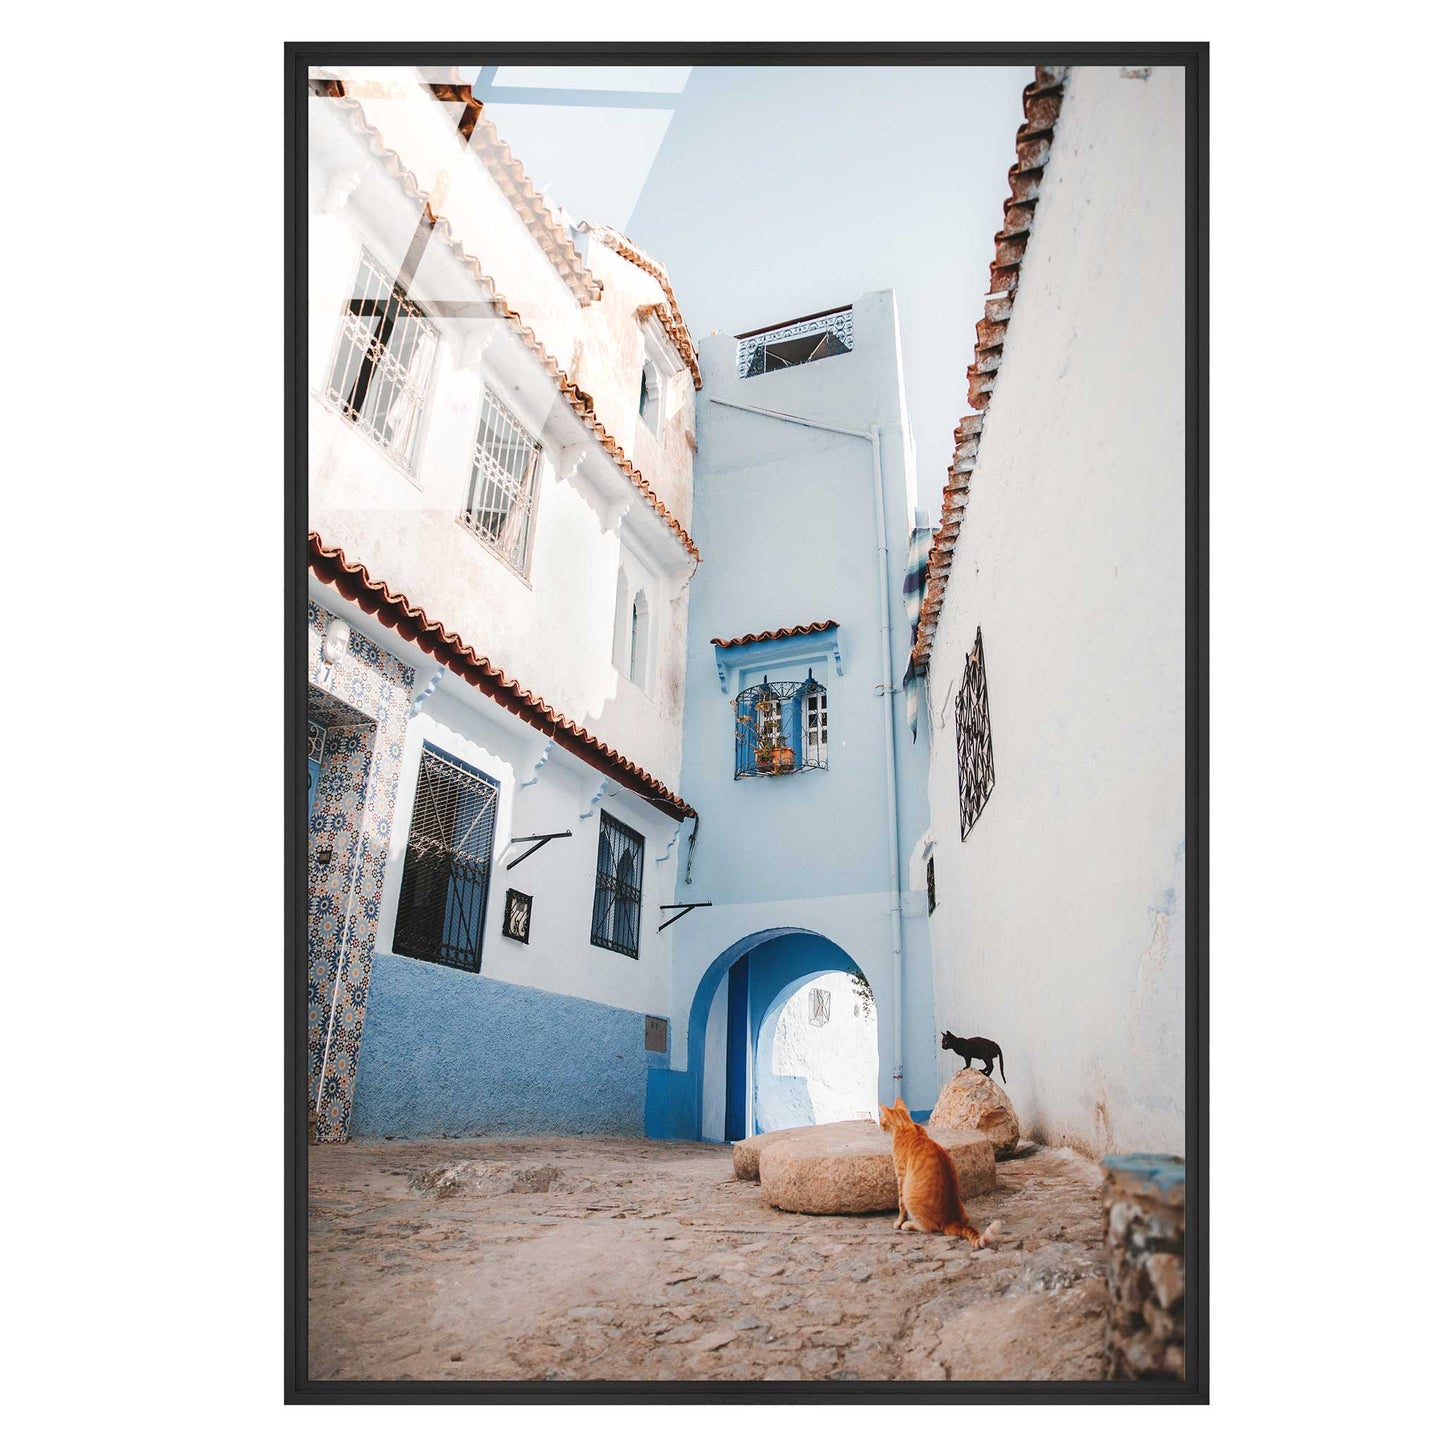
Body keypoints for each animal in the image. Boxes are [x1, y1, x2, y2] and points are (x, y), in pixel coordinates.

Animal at [872, 1092, 999, 1242]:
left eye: (882, 1119)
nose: (879, 1125)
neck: (907, 1125)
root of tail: (949, 1221)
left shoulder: (901, 1176)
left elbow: (901, 1205)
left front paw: (899, 1222)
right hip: (962, 1210)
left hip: (911, 1196)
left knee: (928, 1227)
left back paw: (908, 1225)